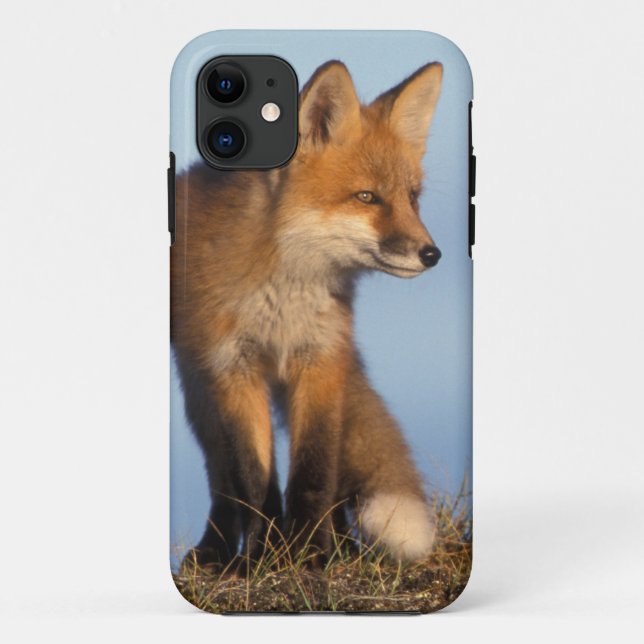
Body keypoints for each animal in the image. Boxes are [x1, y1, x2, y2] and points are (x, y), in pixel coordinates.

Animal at [171, 60, 444, 569]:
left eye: (412, 198)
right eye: (367, 197)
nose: (432, 254)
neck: (284, 295)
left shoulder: (321, 358)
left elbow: (315, 472)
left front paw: (314, 553)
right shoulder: (233, 368)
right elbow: (254, 478)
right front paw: (267, 560)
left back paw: (340, 546)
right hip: (198, 390)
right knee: (223, 479)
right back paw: (220, 551)